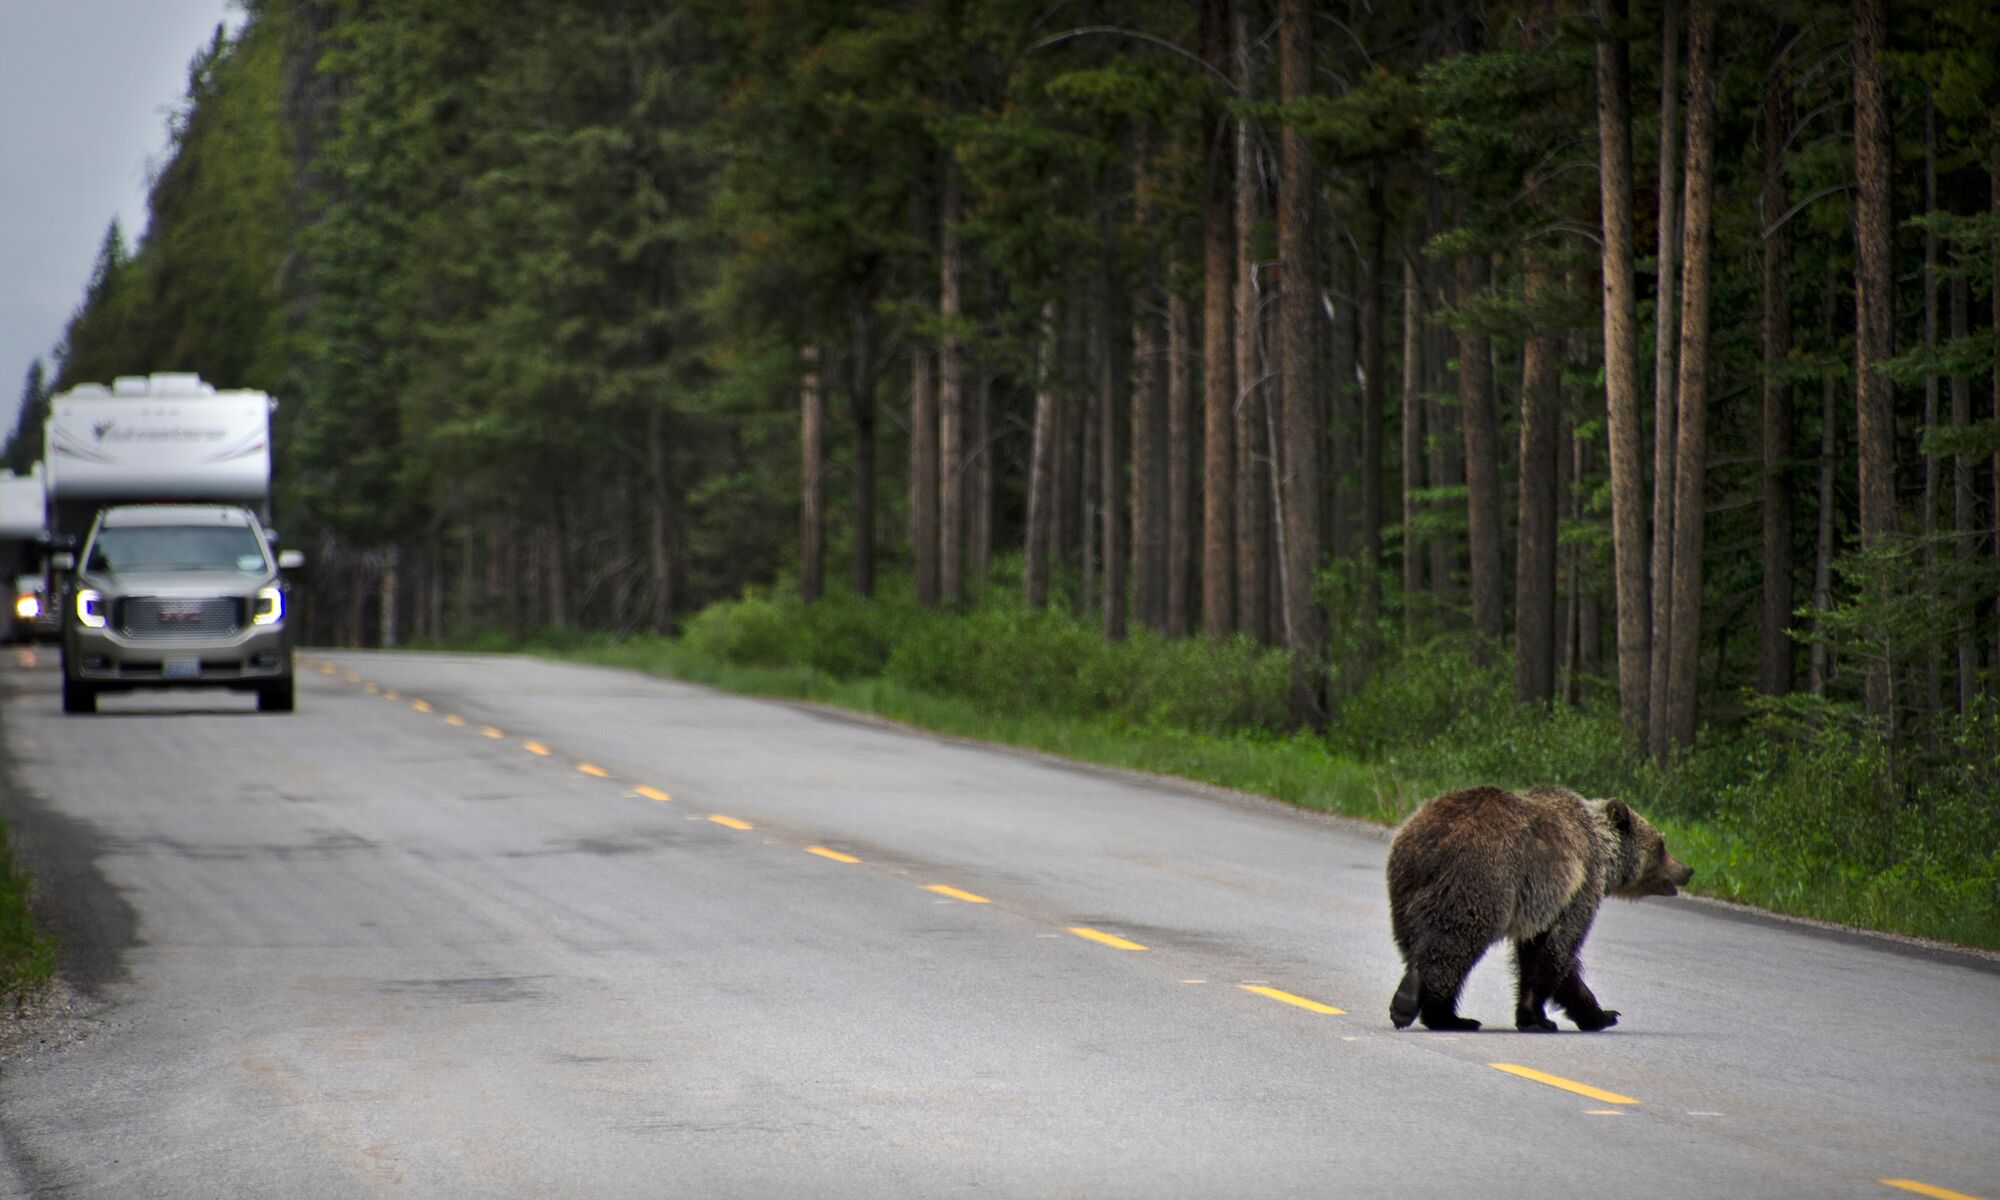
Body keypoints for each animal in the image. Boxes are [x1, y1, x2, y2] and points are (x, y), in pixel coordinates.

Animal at [1385, 784, 1691, 1032]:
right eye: (1662, 844)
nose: (1687, 870)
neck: (1603, 856)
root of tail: (1430, 840)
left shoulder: (1542, 905)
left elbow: (1543, 954)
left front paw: (1599, 1014)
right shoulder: (1577, 890)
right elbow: (1555, 952)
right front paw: (1549, 1018)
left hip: (1407, 885)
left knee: (1419, 941)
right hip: (1482, 879)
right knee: (1454, 945)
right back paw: (1442, 1015)